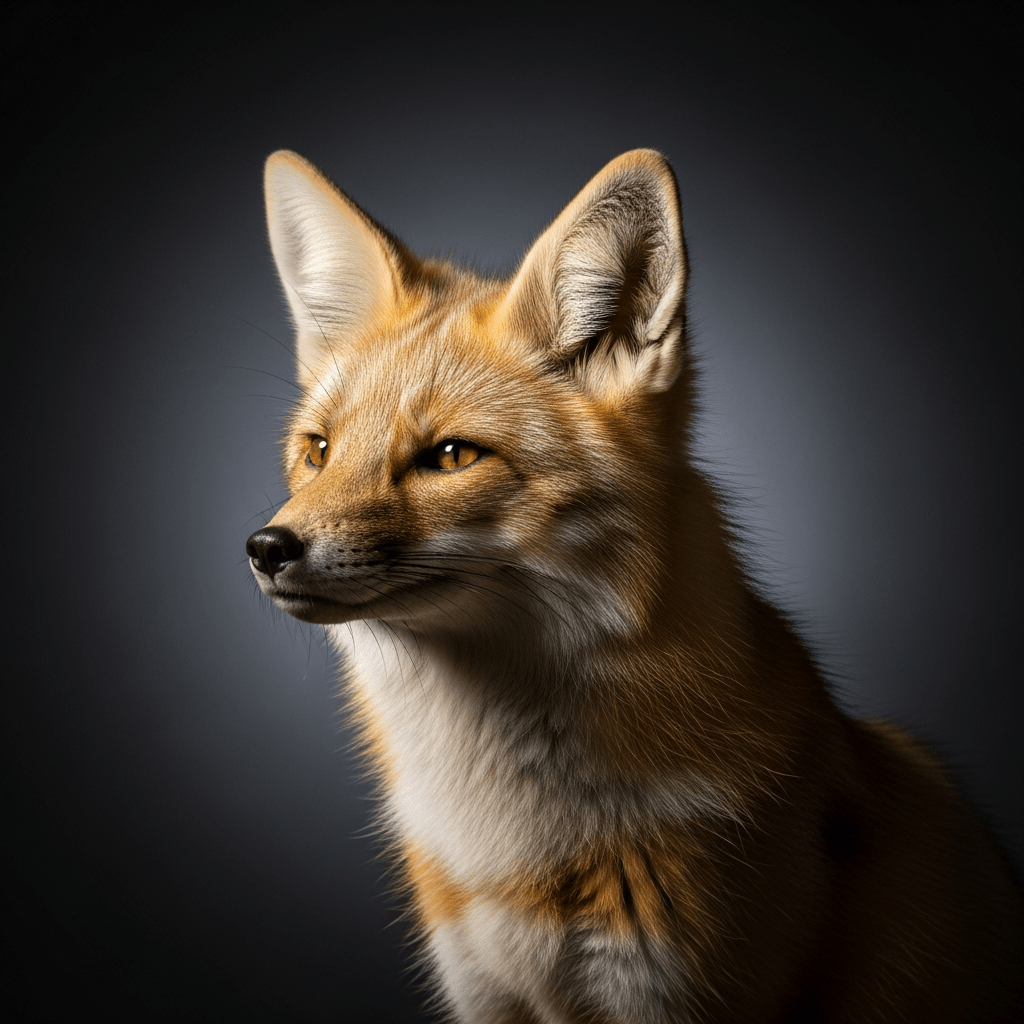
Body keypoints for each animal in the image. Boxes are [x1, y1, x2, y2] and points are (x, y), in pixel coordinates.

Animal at [246, 148, 1023, 1023]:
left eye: (450, 457)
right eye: (317, 451)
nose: (267, 547)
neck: (514, 848)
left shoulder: (677, 994)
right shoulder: (488, 994)